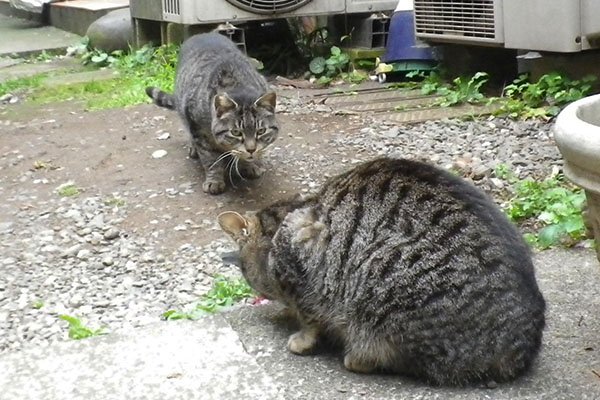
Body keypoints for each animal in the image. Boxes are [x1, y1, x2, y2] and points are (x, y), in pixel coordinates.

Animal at [146, 32, 278, 195]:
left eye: (261, 131)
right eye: (236, 132)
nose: (251, 149)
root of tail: (203, 33)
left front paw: (250, 165)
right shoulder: (198, 131)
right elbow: (210, 160)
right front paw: (214, 181)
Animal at [218, 158, 548, 386]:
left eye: (244, 271)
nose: (258, 290)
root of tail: (524, 344)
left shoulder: (303, 281)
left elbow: (310, 320)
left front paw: (299, 337)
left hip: (378, 293)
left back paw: (355, 355)